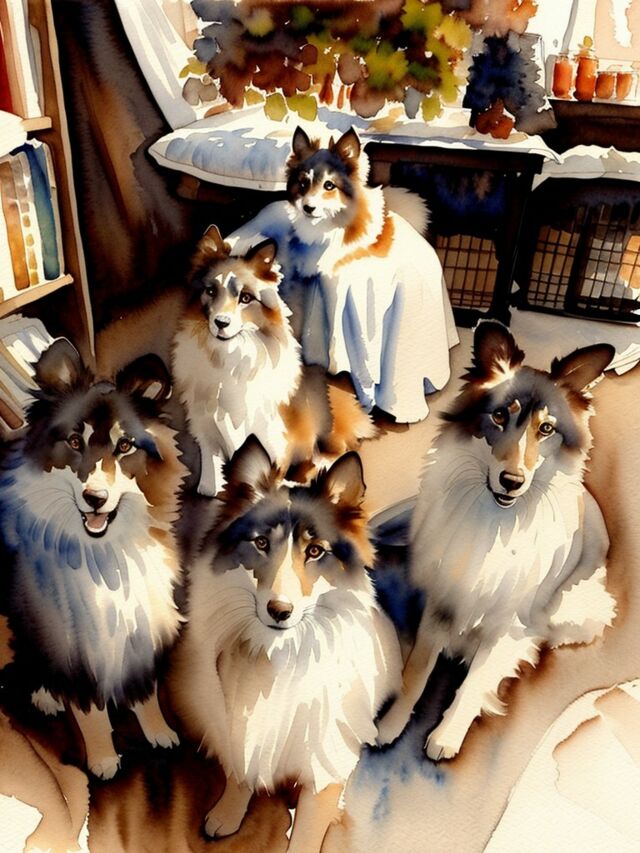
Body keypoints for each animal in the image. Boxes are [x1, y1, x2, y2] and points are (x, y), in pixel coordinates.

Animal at [0, 339, 186, 779]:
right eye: (74, 442)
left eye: (125, 446)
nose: (95, 498)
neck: (105, 555)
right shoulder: (74, 647)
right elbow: (91, 714)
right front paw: (103, 760)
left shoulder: (142, 629)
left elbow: (147, 693)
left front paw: (159, 733)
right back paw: (47, 696)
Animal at [169, 436, 402, 851]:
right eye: (261, 543)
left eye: (315, 551)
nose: (279, 611)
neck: (275, 654)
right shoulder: (239, 724)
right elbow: (241, 770)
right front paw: (228, 814)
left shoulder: (325, 767)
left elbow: (307, 834)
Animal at [171, 224, 374, 497]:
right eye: (210, 291)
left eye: (246, 298)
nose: (221, 323)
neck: (229, 356)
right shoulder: (205, 425)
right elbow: (211, 464)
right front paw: (209, 489)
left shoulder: (273, 436)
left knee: (339, 449)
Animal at [376, 321, 617, 760]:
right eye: (500, 415)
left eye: (547, 429)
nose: (512, 481)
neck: (497, 521)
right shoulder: (442, 601)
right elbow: (416, 670)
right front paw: (390, 725)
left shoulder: (509, 621)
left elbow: (474, 683)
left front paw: (445, 737)